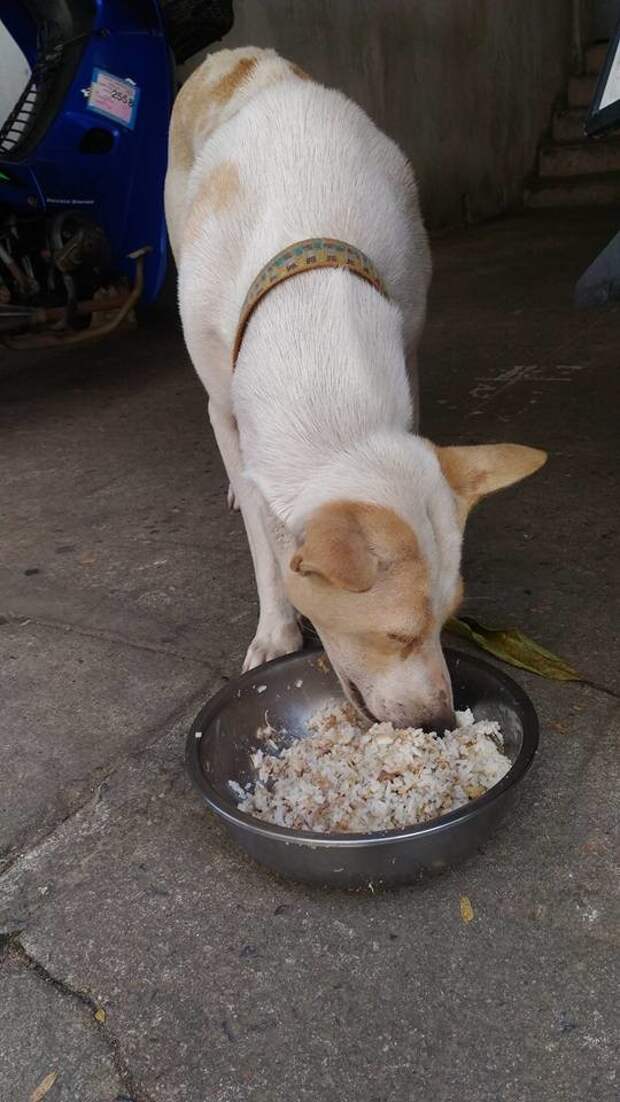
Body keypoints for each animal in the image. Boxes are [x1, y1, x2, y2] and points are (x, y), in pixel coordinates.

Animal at [166, 47, 548, 731]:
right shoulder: (225, 409)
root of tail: (243, 58)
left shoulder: (407, 345)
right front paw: (275, 630)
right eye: (395, 635)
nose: (438, 723)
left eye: (449, 622)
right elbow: (263, 541)